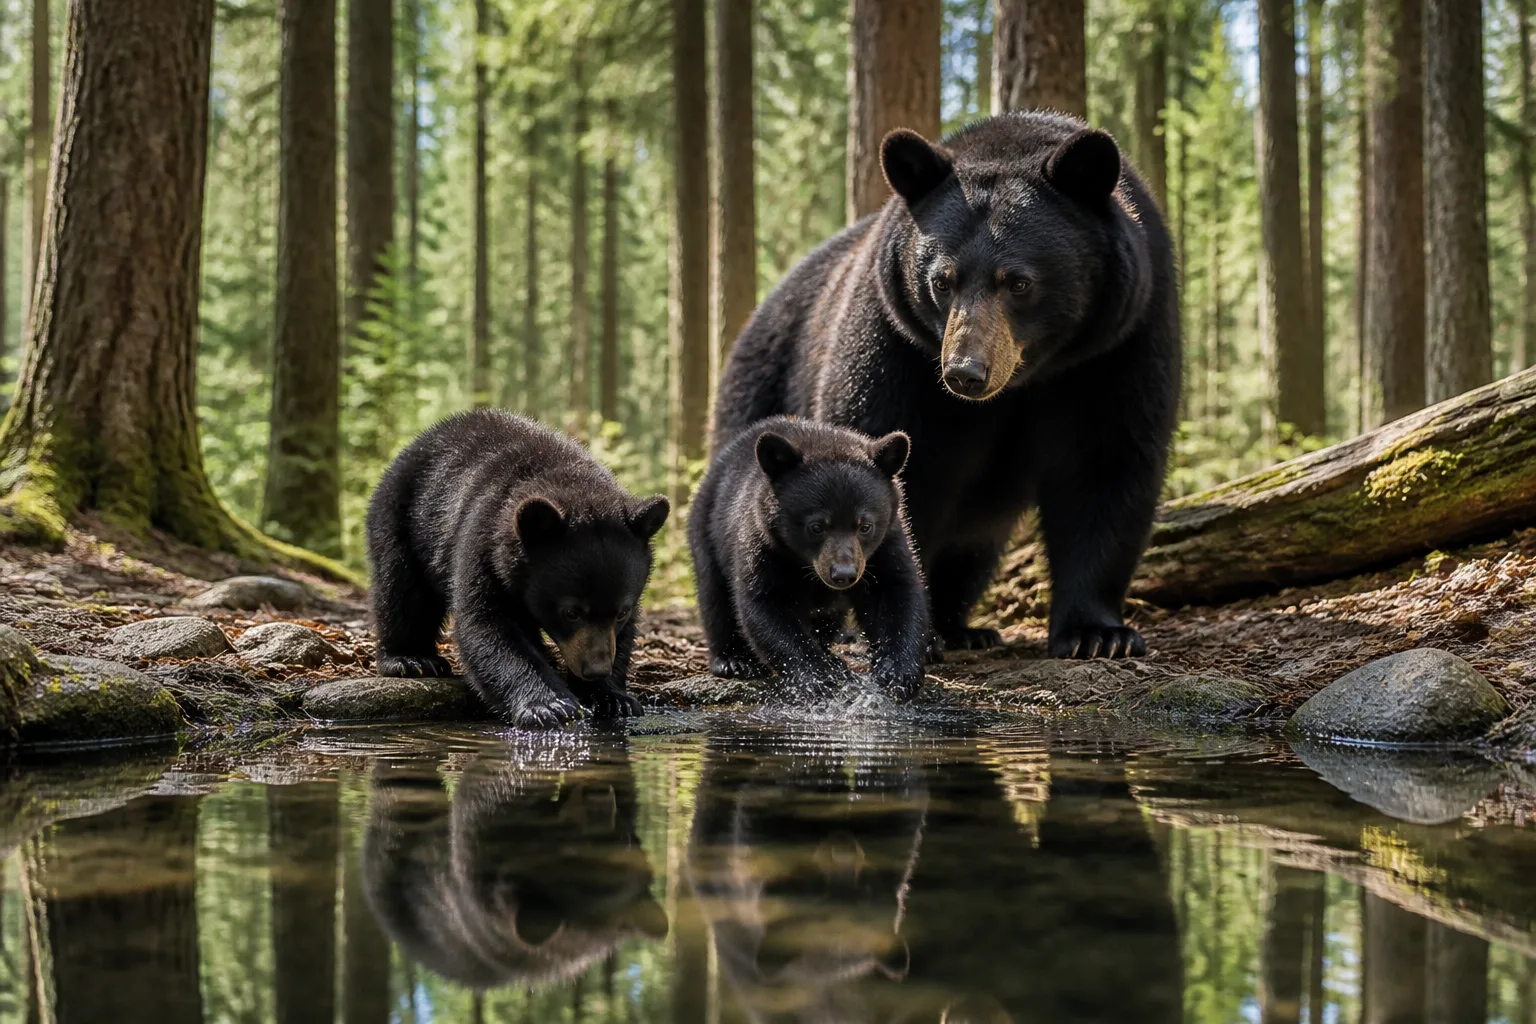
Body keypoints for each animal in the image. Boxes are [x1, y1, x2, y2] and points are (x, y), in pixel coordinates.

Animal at [365, 410, 669, 727]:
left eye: (621, 612)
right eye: (571, 612)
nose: (595, 669)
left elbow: (623, 636)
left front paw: (613, 698)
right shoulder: (483, 542)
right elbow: (487, 624)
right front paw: (549, 705)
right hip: (403, 519)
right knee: (403, 592)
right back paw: (411, 659)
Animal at [687, 415, 928, 700]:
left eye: (865, 526)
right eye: (816, 526)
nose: (844, 574)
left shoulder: (887, 543)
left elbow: (895, 591)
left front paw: (897, 672)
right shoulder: (763, 543)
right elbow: (767, 603)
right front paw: (819, 675)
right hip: (706, 529)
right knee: (714, 596)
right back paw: (733, 660)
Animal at [712, 111, 1180, 661]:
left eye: (1018, 282)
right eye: (942, 280)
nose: (965, 372)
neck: (1029, 377)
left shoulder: (1119, 342)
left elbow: (1107, 460)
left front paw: (1098, 633)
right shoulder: (896, 346)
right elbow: (893, 465)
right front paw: (903, 629)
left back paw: (964, 626)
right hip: (763, 392)